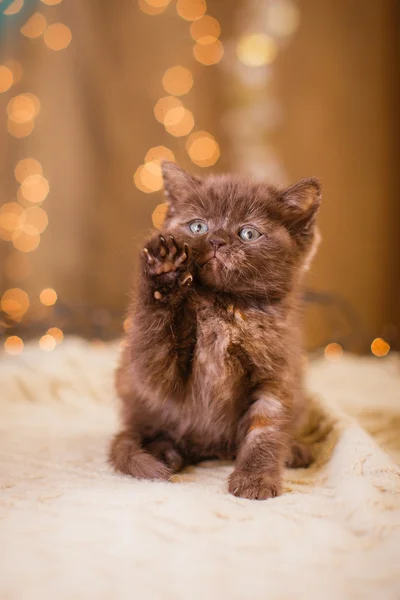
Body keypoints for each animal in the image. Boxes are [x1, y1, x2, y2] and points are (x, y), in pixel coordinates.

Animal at [109, 162, 322, 500]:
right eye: (198, 227)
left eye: (248, 233)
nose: (217, 241)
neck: (224, 308)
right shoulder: (156, 373)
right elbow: (152, 346)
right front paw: (164, 272)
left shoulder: (277, 372)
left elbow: (267, 428)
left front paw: (255, 479)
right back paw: (166, 454)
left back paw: (294, 450)